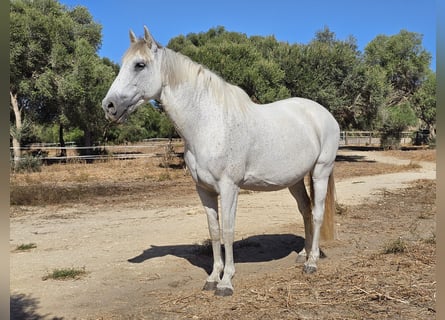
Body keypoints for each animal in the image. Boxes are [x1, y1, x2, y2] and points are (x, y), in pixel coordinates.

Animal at [103, 26, 340, 296]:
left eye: (139, 65)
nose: (109, 106)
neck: (209, 125)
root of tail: (324, 114)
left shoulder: (229, 188)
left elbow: (228, 230)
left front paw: (226, 282)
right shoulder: (204, 190)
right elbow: (214, 231)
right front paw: (212, 278)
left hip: (321, 171)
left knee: (317, 212)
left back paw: (312, 262)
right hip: (295, 179)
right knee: (306, 211)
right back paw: (302, 254)